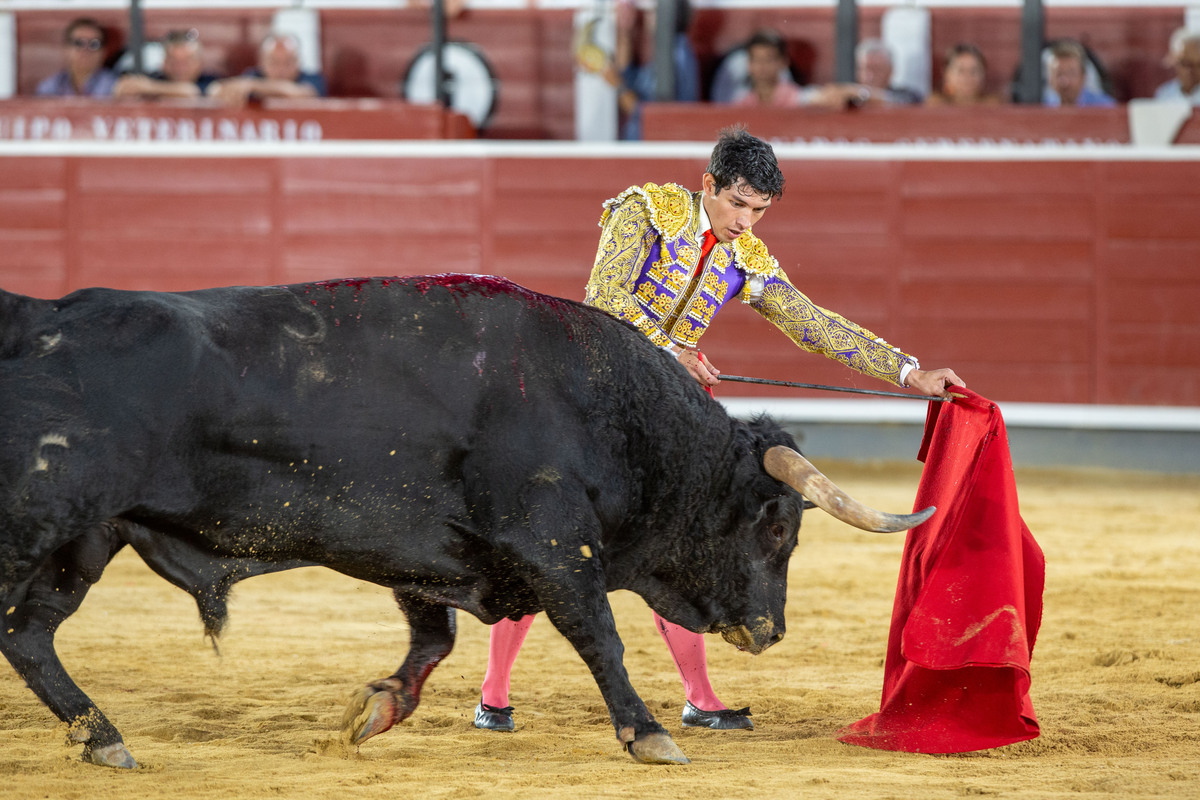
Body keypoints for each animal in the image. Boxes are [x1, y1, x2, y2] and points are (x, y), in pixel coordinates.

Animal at [0, 277, 936, 767]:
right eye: (777, 527)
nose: (770, 631)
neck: (615, 412)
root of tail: (43, 314)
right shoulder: (555, 546)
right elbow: (599, 634)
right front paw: (648, 734)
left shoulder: (427, 555)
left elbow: (435, 640)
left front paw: (375, 710)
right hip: (38, 518)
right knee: (20, 626)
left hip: (87, 538)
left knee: (28, 634)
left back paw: (105, 741)